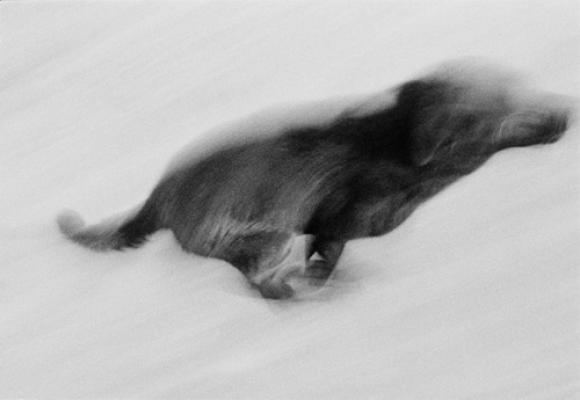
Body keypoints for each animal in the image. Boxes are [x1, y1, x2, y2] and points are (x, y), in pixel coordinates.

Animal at [56, 62, 568, 298]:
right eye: (506, 110)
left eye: (522, 82)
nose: (564, 109)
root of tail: (159, 193)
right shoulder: (331, 219)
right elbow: (325, 257)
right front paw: (323, 285)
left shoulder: (334, 229)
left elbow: (327, 259)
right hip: (265, 234)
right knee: (260, 280)